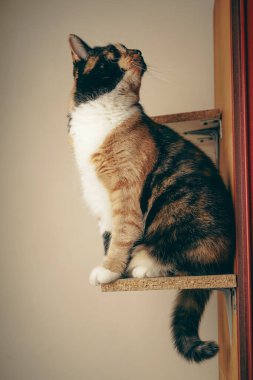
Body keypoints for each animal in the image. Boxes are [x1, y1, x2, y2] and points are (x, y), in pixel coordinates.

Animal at [67, 35, 235, 362]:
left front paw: (109, 271)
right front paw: (115, 272)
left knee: (195, 265)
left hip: (186, 225)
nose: (139, 51)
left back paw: (146, 266)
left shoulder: (125, 191)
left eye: (127, 48)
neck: (103, 114)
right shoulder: (99, 198)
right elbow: (108, 237)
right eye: (113, 53)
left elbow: (122, 235)